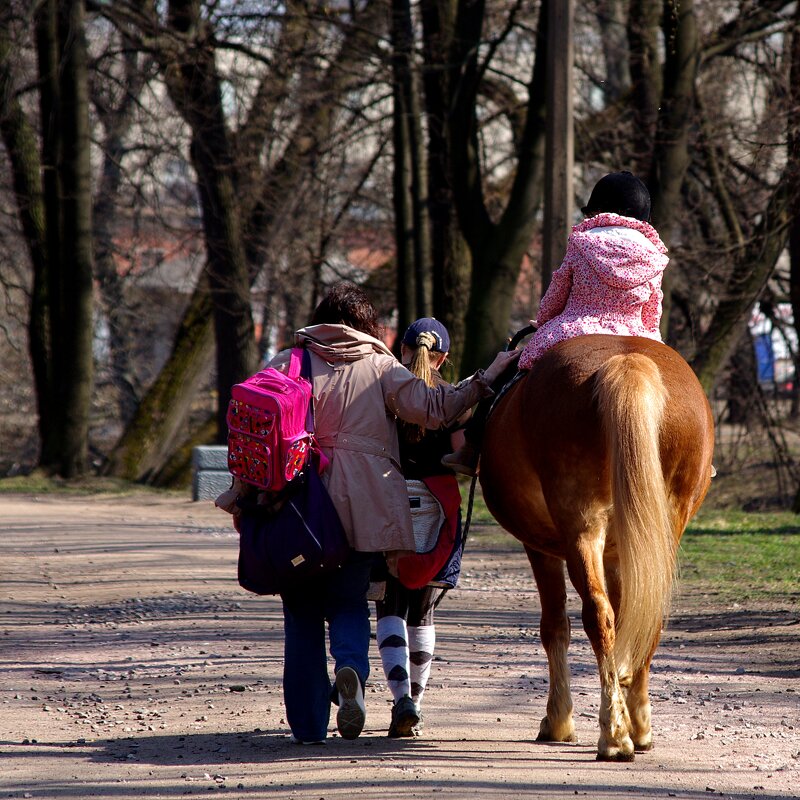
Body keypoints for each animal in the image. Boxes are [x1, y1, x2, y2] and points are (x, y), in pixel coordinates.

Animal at [478, 332, 716, 764]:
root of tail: (627, 363)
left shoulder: (540, 548)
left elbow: (555, 626)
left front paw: (558, 721)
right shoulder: (624, 555)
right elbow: (630, 618)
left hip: (580, 528)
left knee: (597, 616)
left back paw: (614, 736)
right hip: (659, 530)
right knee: (647, 617)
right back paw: (636, 728)